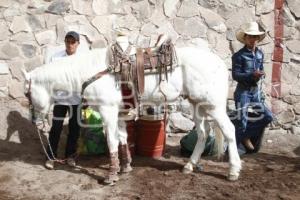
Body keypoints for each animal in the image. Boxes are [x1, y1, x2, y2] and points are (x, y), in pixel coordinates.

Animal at [22, 39, 241, 184]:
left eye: (27, 93)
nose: (34, 121)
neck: (91, 71)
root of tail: (220, 63)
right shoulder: (119, 114)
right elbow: (123, 139)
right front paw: (125, 167)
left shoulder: (108, 111)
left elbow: (111, 141)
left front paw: (111, 175)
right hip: (197, 104)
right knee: (203, 133)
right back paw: (189, 166)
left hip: (213, 106)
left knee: (229, 131)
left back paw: (233, 171)